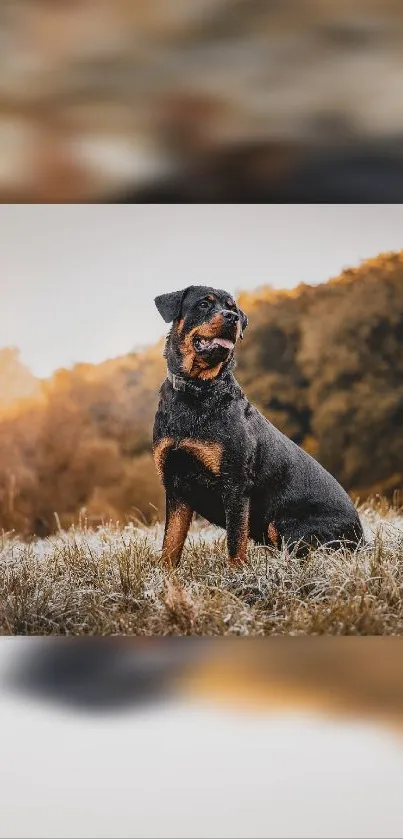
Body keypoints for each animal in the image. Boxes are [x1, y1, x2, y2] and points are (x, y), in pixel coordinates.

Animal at [152, 284, 366, 564]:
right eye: (204, 304)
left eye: (232, 308)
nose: (232, 318)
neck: (197, 390)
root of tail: (362, 539)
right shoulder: (175, 485)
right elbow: (171, 544)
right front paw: (165, 576)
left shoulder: (235, 484)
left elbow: (235, 544)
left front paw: (236, 575)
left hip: (285, 525)